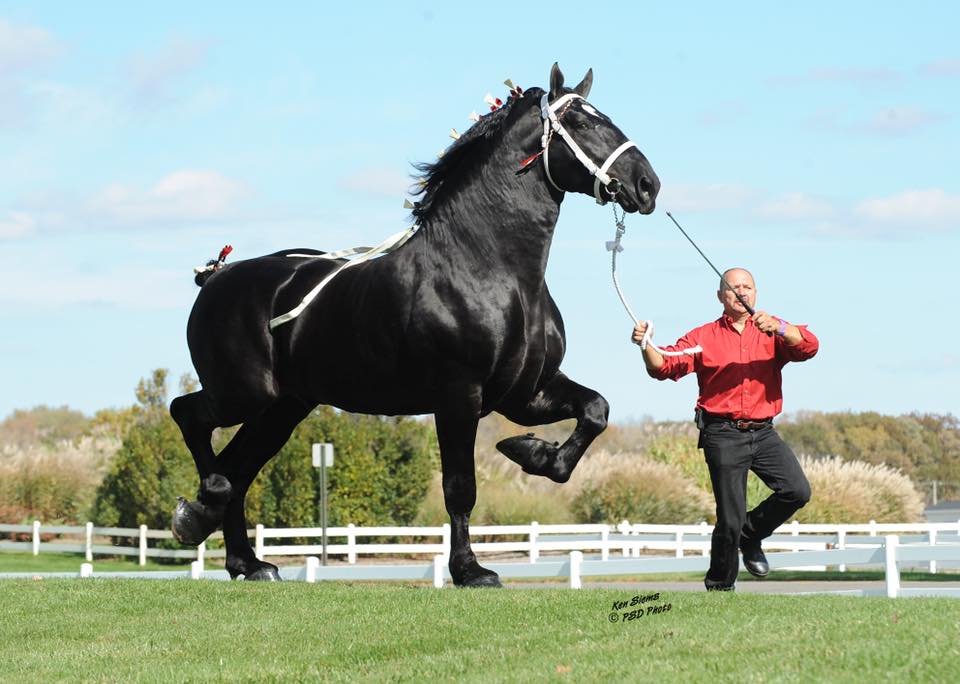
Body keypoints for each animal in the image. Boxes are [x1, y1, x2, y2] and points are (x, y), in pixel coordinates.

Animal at [169, 64, 656, 584]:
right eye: (581, 123)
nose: (648, 185)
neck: (490, 268)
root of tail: (216, 278)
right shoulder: (459, 395)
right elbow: (460, 487)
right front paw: (470, 571)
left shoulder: (527, 394)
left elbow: (595, 411)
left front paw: (532, 453)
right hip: (244, 394)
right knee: (193, 422)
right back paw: (200, 511)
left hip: (282, 408)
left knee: (239, 470)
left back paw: (248, 561)